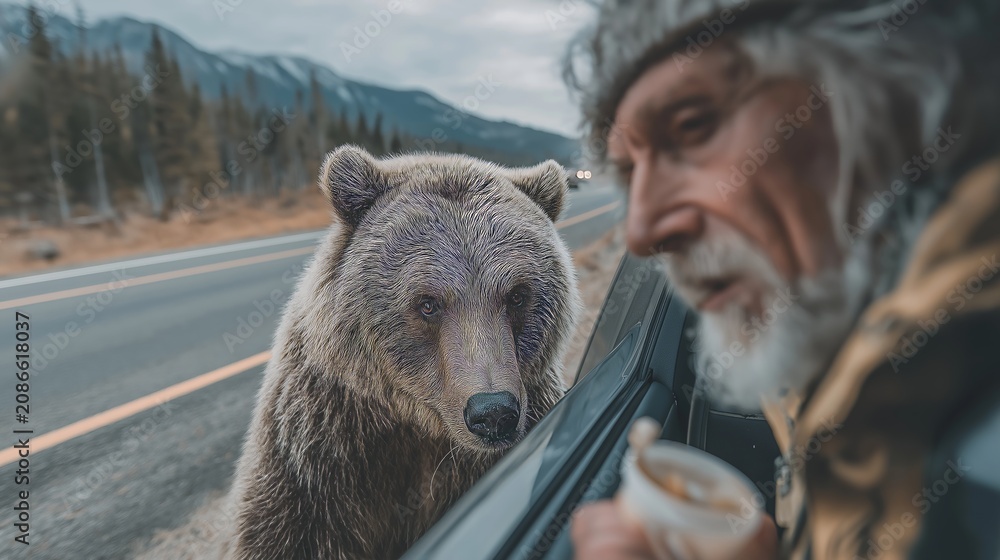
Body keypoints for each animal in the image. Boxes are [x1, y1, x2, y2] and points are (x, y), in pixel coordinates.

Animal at [225, 145, 581, 560]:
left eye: (517, 295)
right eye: (428, 303)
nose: (492, 412)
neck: (420, 426)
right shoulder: (316, 451)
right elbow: (287, 528)